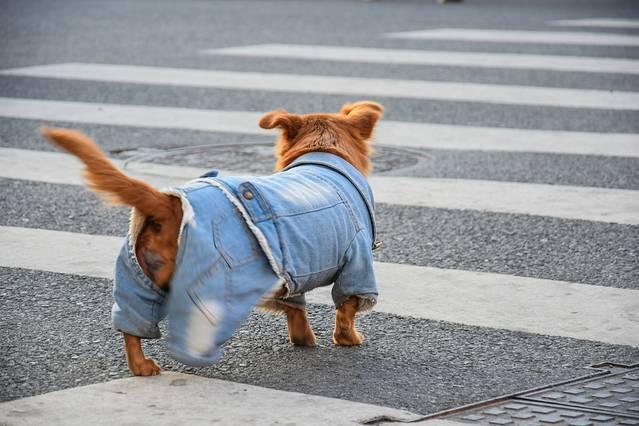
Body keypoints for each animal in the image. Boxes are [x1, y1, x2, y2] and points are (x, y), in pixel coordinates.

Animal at [45, 100, 384, 376]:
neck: (322, 156)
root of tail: (168, 202)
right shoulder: (357, 264)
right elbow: (347, 309)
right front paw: (348, 339)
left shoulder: (293, 271)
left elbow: (296, 312)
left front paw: (305, 340)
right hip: (213, 285)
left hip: (139, 278)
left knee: (133, 324)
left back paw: (141, 366)